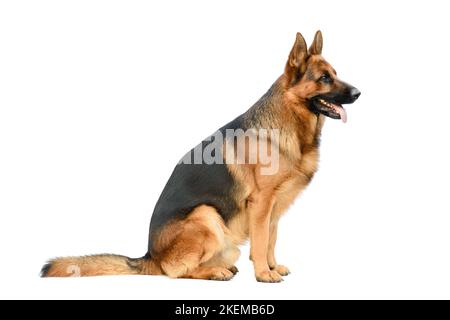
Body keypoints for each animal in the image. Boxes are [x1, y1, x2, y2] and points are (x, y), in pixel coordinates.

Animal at [40, 31, 360, 282]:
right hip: (206, 215)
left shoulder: (275, 208)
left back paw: (223, 268)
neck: (290, 119)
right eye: (324, 78)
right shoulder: (261, 204)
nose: (358, 93)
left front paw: (272, 267)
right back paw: (215, 272)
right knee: (175, 271)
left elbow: (270, 240)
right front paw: (263, 274)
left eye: (335, 74)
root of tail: (150, 255)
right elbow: (259, 242)